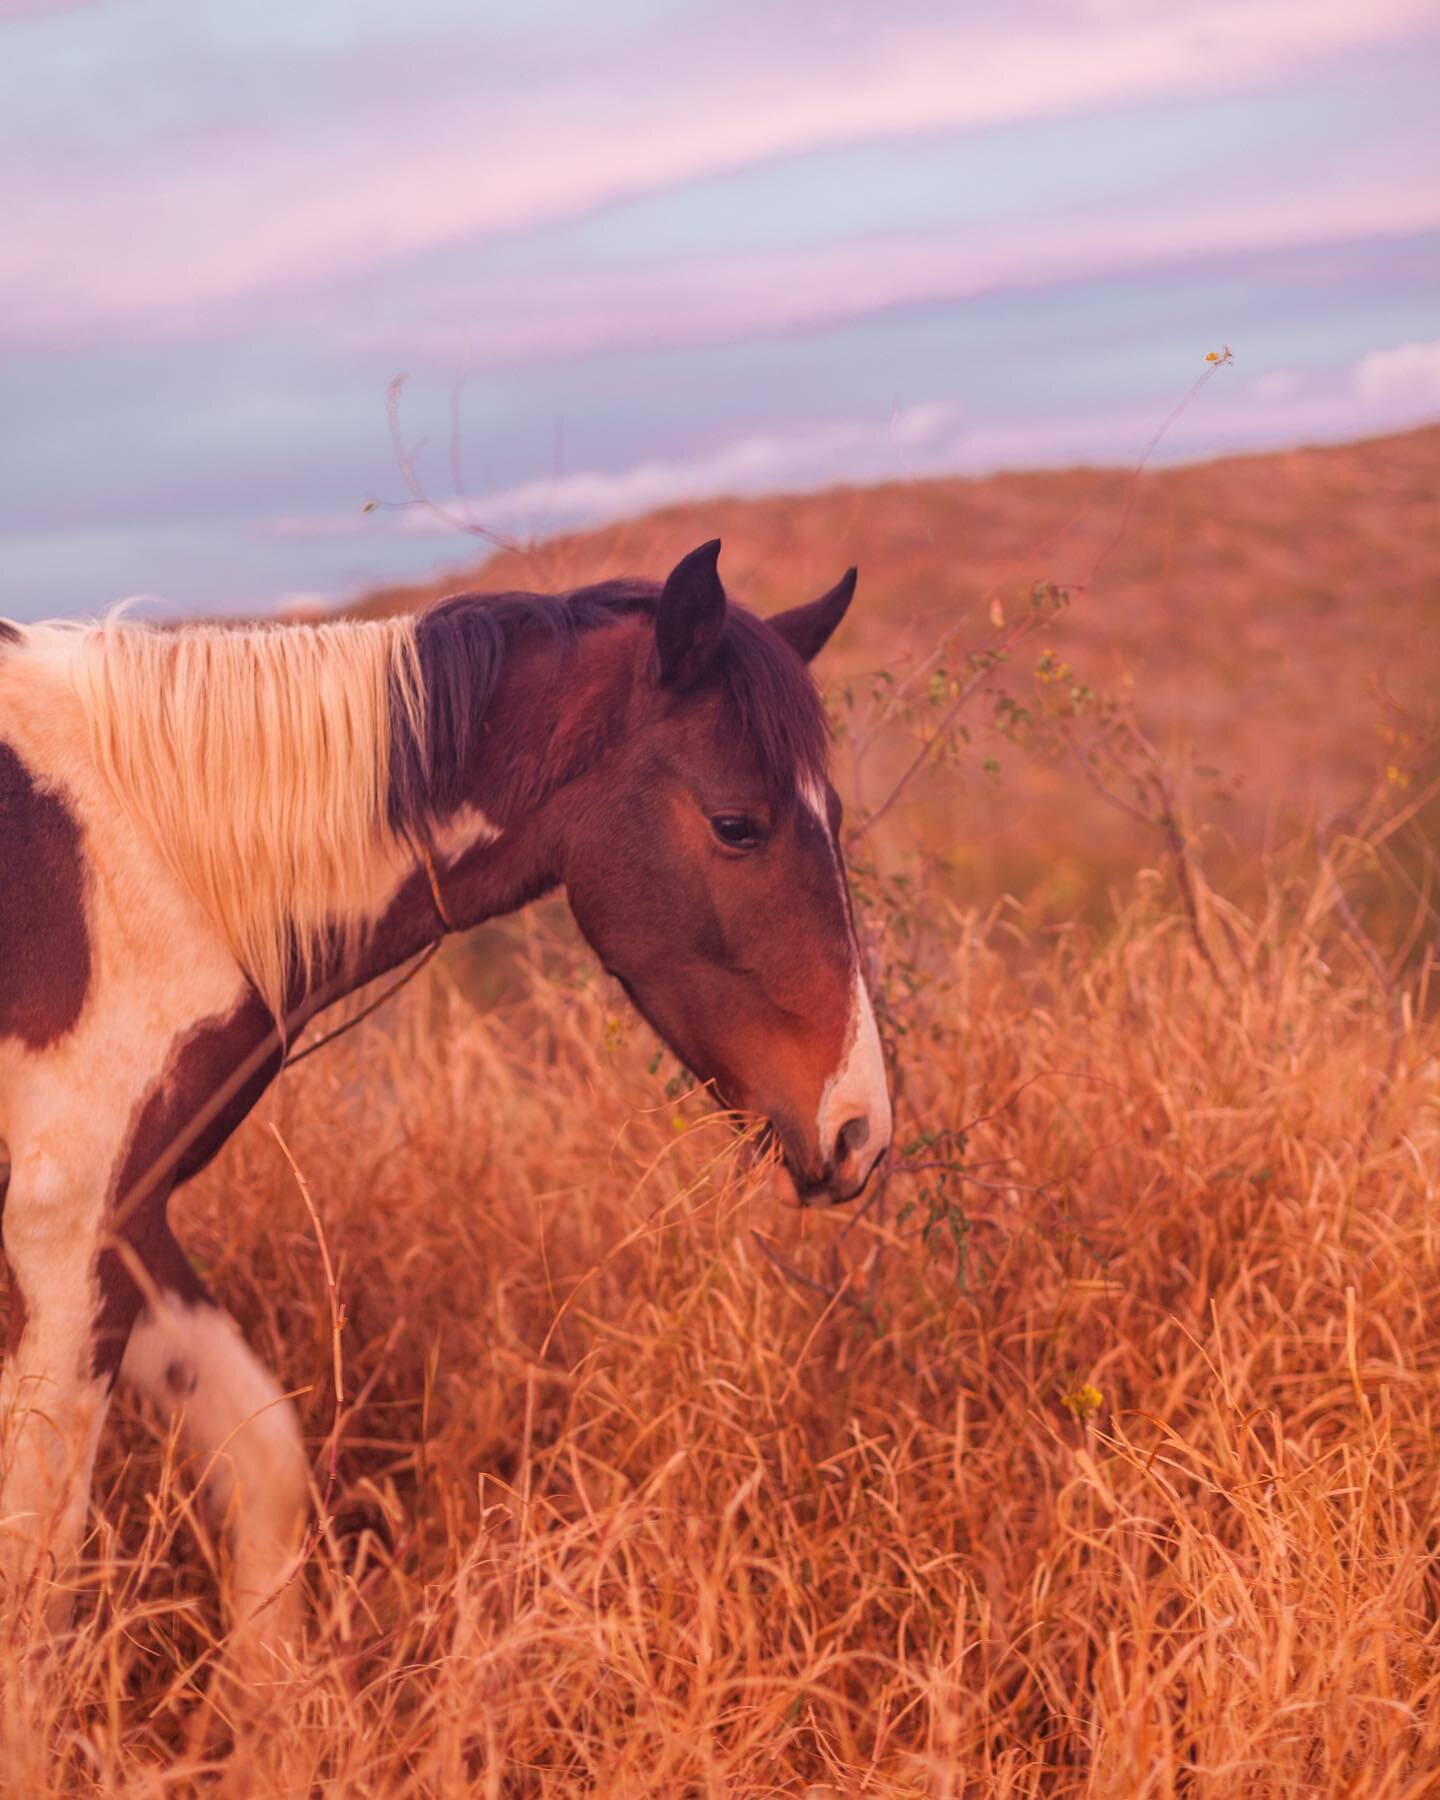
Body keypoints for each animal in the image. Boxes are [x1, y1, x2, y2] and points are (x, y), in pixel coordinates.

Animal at [0, 540, 889, 1663]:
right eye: (737, 825)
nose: (860, 1129)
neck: (140, 864)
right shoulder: (58, 1237)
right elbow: (33, 1581)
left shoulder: (125, 1217)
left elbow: (265, 1464)